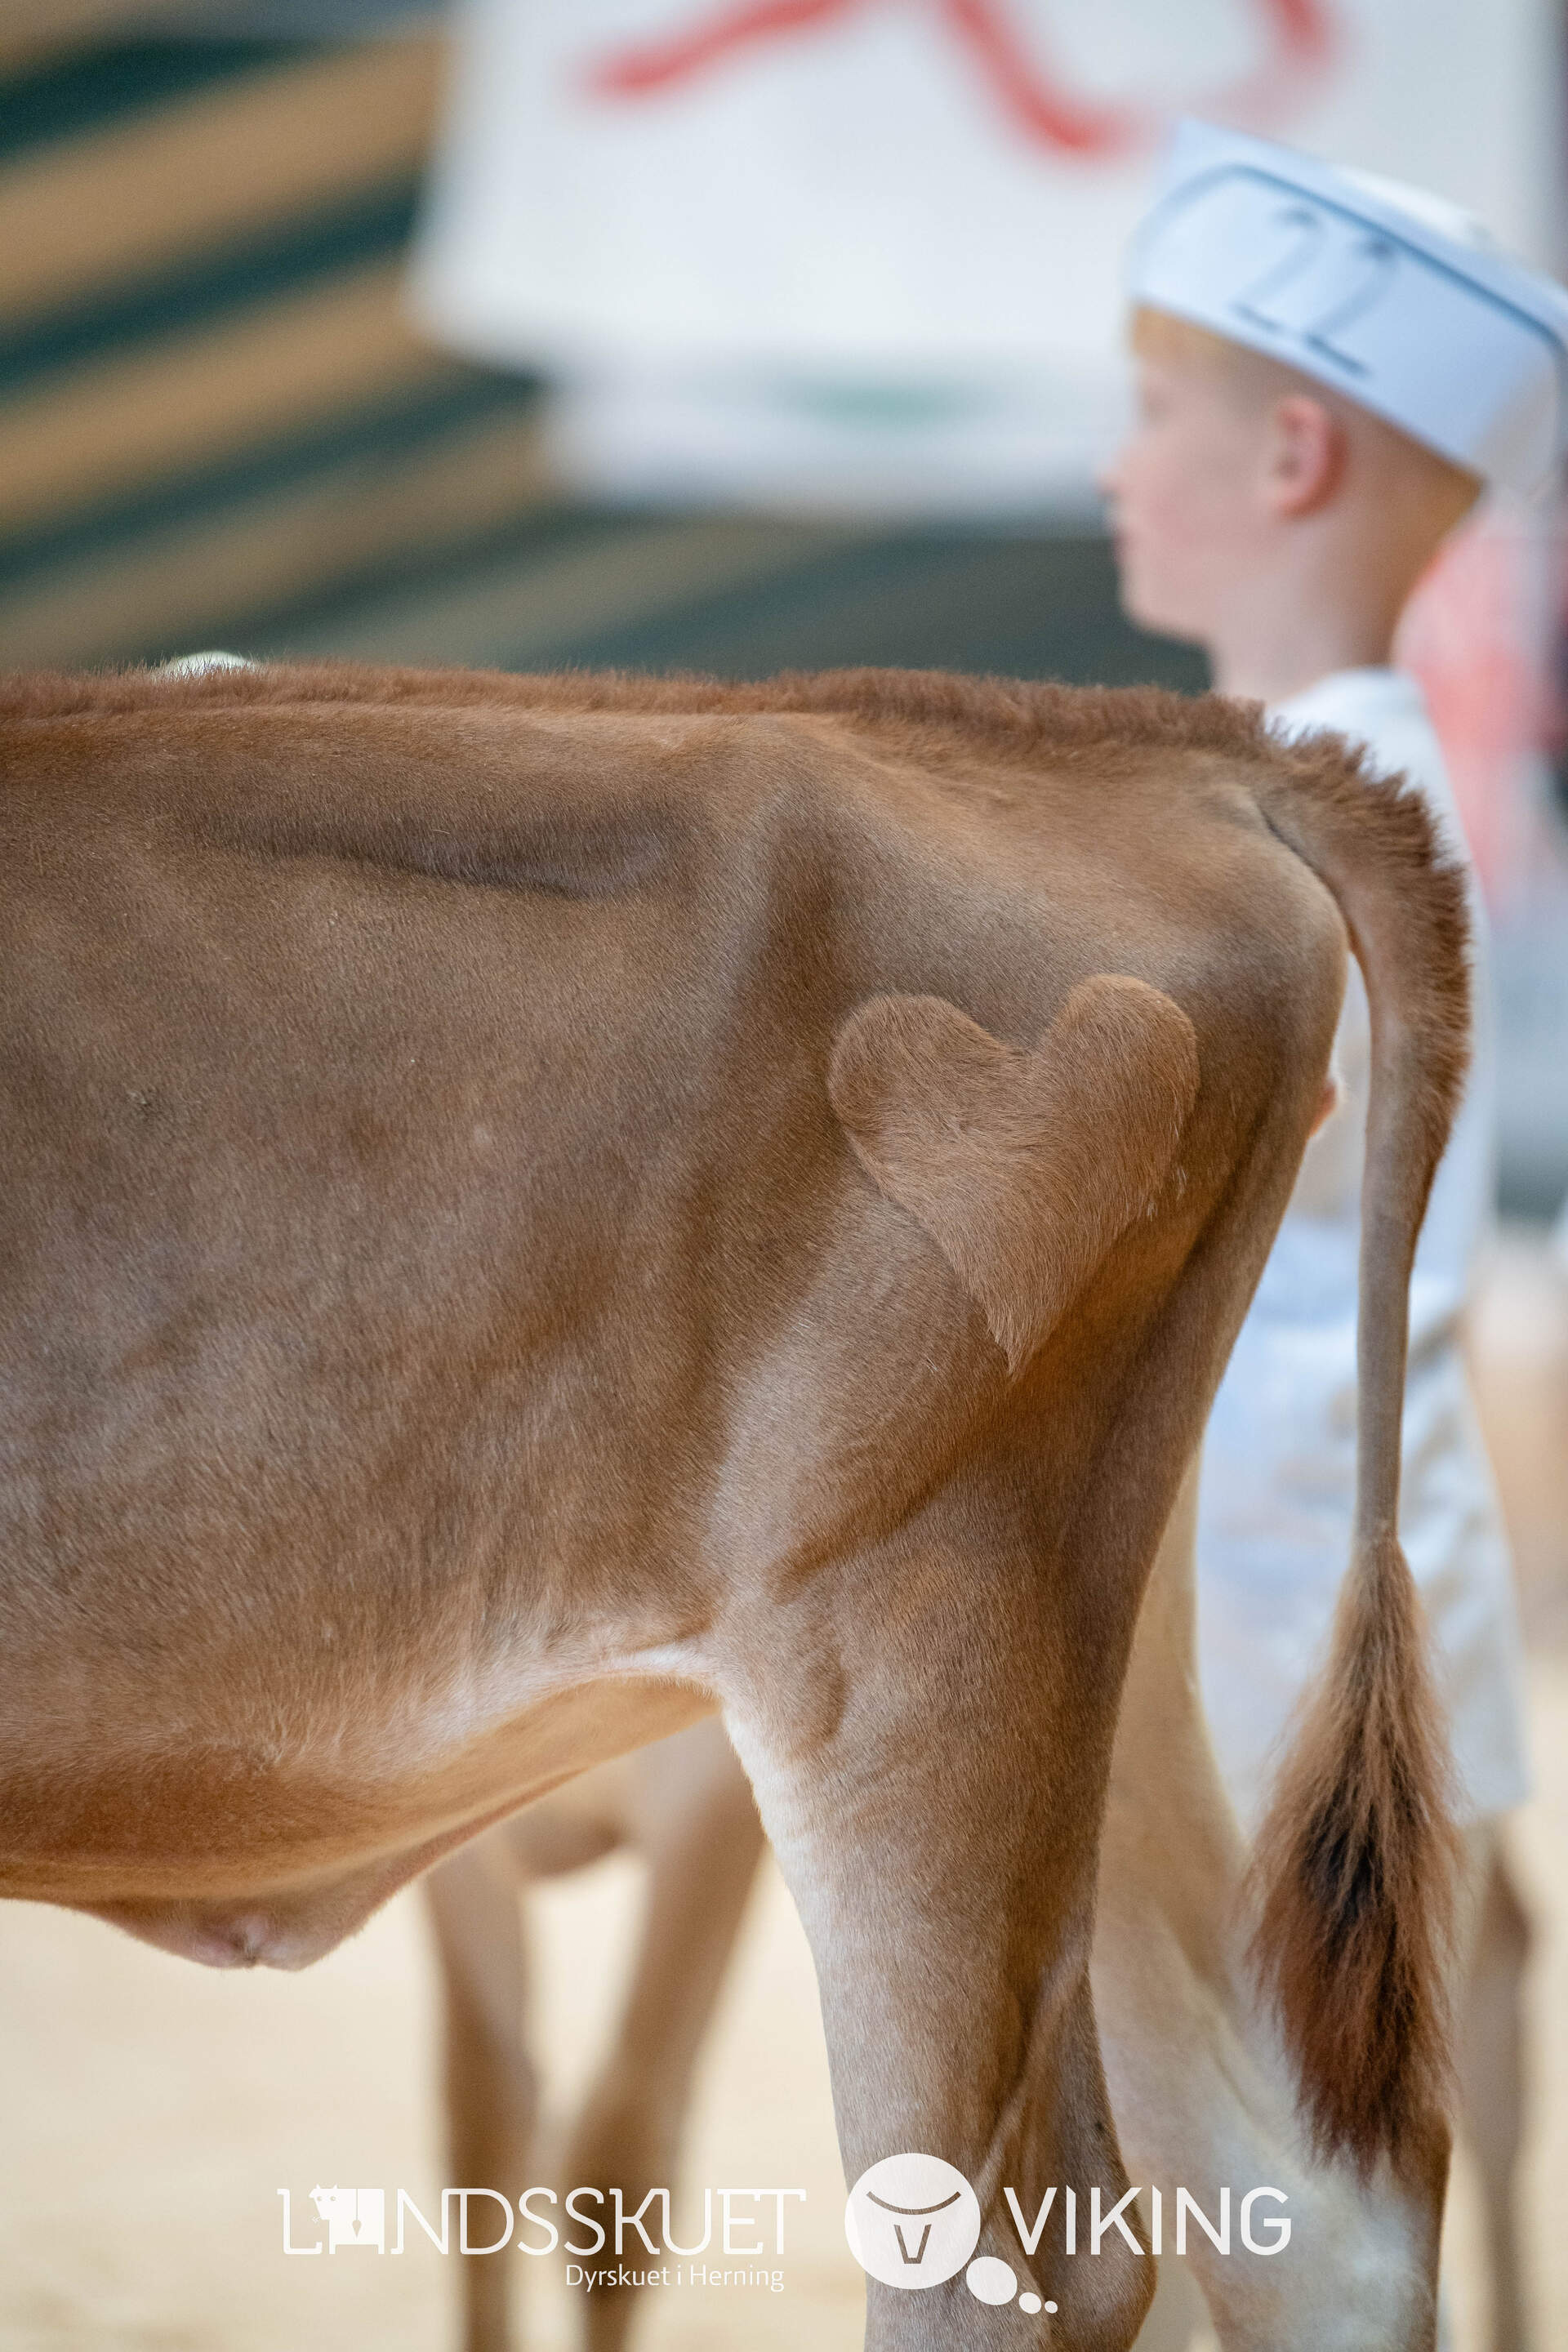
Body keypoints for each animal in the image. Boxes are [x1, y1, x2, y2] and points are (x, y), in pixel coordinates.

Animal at [0, 667, 1476, 2352]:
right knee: (1306, 2207)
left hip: (916, 1640)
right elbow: (486, 2128)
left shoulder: (710, 1810)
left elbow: (606, 2161)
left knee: (1009, 2249)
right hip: (1107, 1652)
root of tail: (1159, 757)